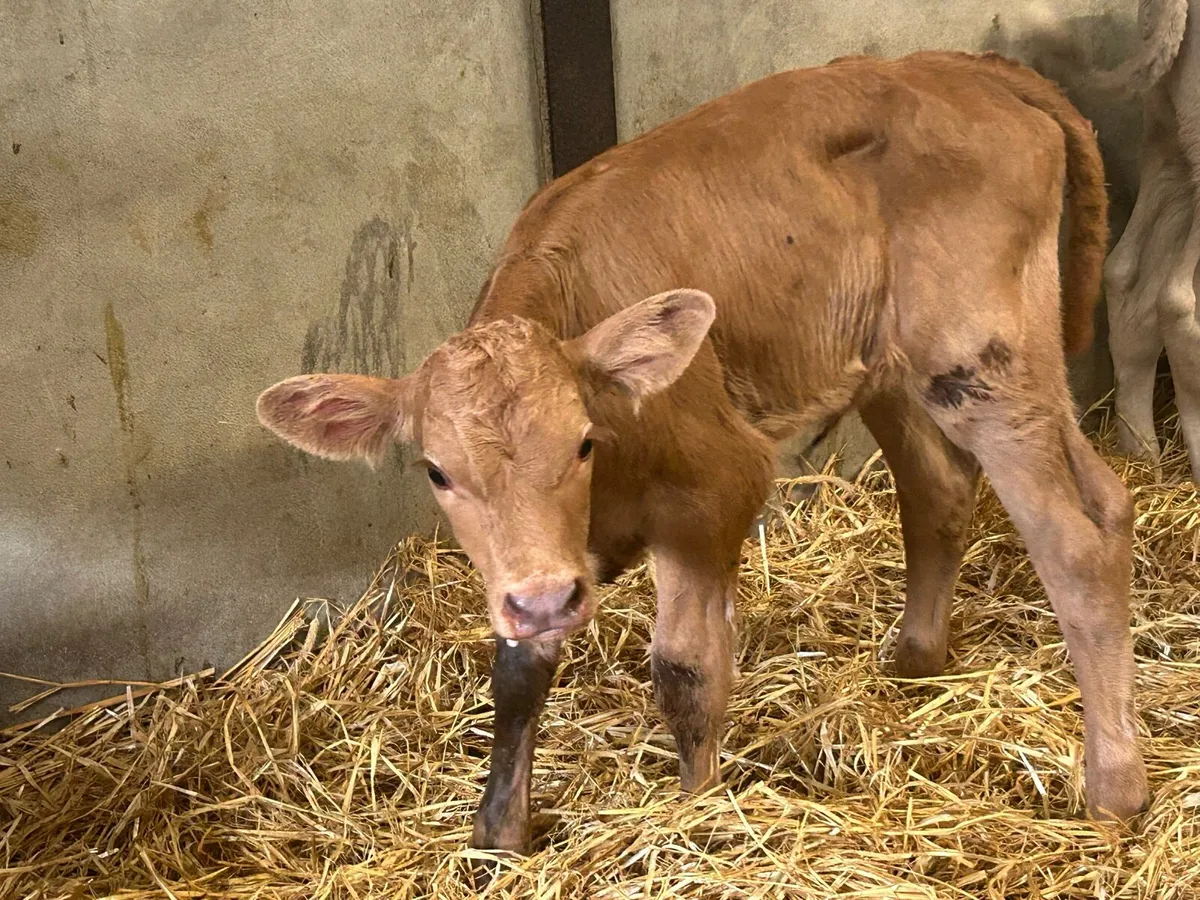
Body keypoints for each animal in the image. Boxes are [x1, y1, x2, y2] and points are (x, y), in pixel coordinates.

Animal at [256, 50, 1149, 854]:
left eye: (582, 442)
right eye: (438, 471)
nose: (545, 600)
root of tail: (958, 66)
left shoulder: (716, 488)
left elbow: (685, 669)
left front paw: (696, 812)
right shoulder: (530, 563)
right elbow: (515, 679)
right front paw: (498, 835)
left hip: (982, 356)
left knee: (1076, 537)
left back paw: (1113, 787)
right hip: (891, 362)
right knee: (958, 489)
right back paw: (915, 662)